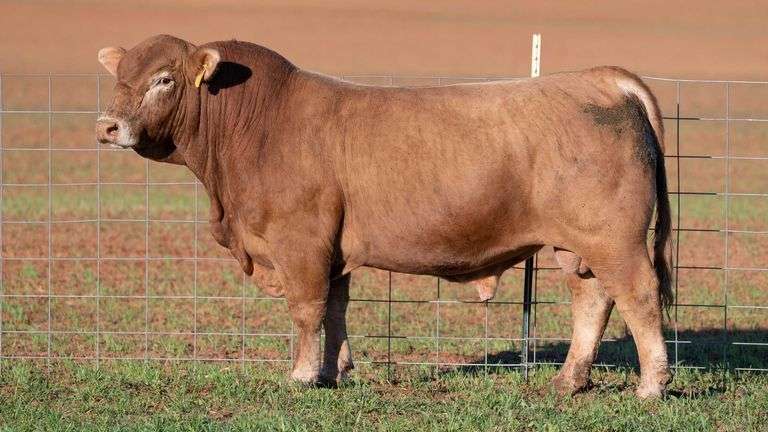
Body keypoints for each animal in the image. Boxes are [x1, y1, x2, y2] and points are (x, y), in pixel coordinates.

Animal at [96, 34, 673, 398]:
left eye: (164, 80)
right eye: (120, 77)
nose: (107, 126)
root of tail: (600, 78)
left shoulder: (300, 241)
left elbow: (306, 309)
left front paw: (301, 376)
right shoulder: (333, 251)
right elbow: (335, 310)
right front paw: (335, 371)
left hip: (613, 239)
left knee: (638, 297)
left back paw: (651, 385)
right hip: (576, 244)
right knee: (593, 300)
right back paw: (570, 380)